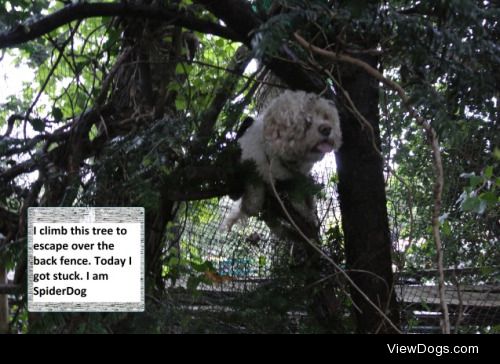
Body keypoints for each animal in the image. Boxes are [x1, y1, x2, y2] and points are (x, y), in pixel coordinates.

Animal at [225, 91, 342, 232]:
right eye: (306, 121)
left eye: (326, 117)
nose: (327, 129)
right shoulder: (251, 161)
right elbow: (253, 187)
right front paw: (251, 202)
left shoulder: (296, 178)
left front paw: (307, 214)